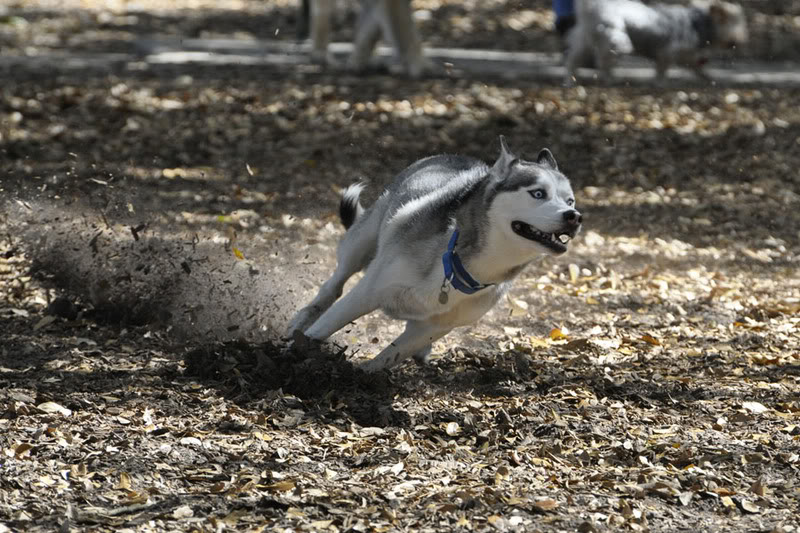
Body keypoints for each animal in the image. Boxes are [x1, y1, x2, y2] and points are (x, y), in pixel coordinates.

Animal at [288, 136, 580, 370]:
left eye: (570, 200)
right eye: (538, 193)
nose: (574, 217)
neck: (459, 265)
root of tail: (454, 156)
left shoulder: (435, 327)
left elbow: (388, 357)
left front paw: (359, 378)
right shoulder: (368, 292)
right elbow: (323, 328)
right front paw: (291, 357)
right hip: (360, 242)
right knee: (333, 287)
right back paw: (297, 323)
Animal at [564, 0, 748, 83]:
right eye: (737, 23)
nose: (741, 40)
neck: (699, 23)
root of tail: (591, 6)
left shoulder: (686, 56)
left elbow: (697, 68)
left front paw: (708, 77)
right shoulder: (669, 52)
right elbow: (662, 69)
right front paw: (660, 82)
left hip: (584, 40)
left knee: (574, 59)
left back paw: (570, 79)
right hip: (617, 40)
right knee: (604, 61)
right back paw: (610, 78)